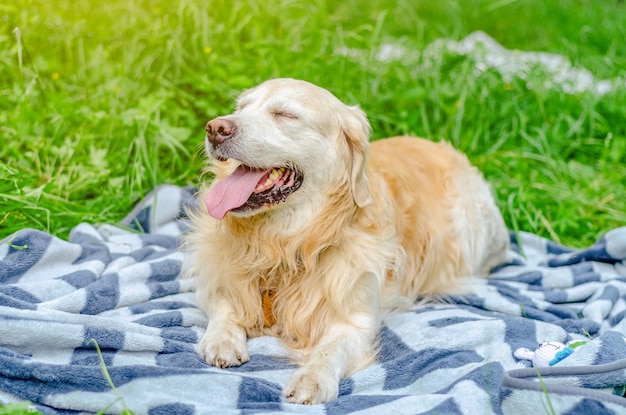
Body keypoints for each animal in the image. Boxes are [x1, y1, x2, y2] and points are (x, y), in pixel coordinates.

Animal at [183, 79, 510, 406]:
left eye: (285, 114)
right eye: (241, 108)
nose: (215, 128)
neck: (285, 243)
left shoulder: (357, 319)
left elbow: (331, 349)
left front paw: (312, 378)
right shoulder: (217, 282)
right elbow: (224, 307)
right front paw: (222, 339)